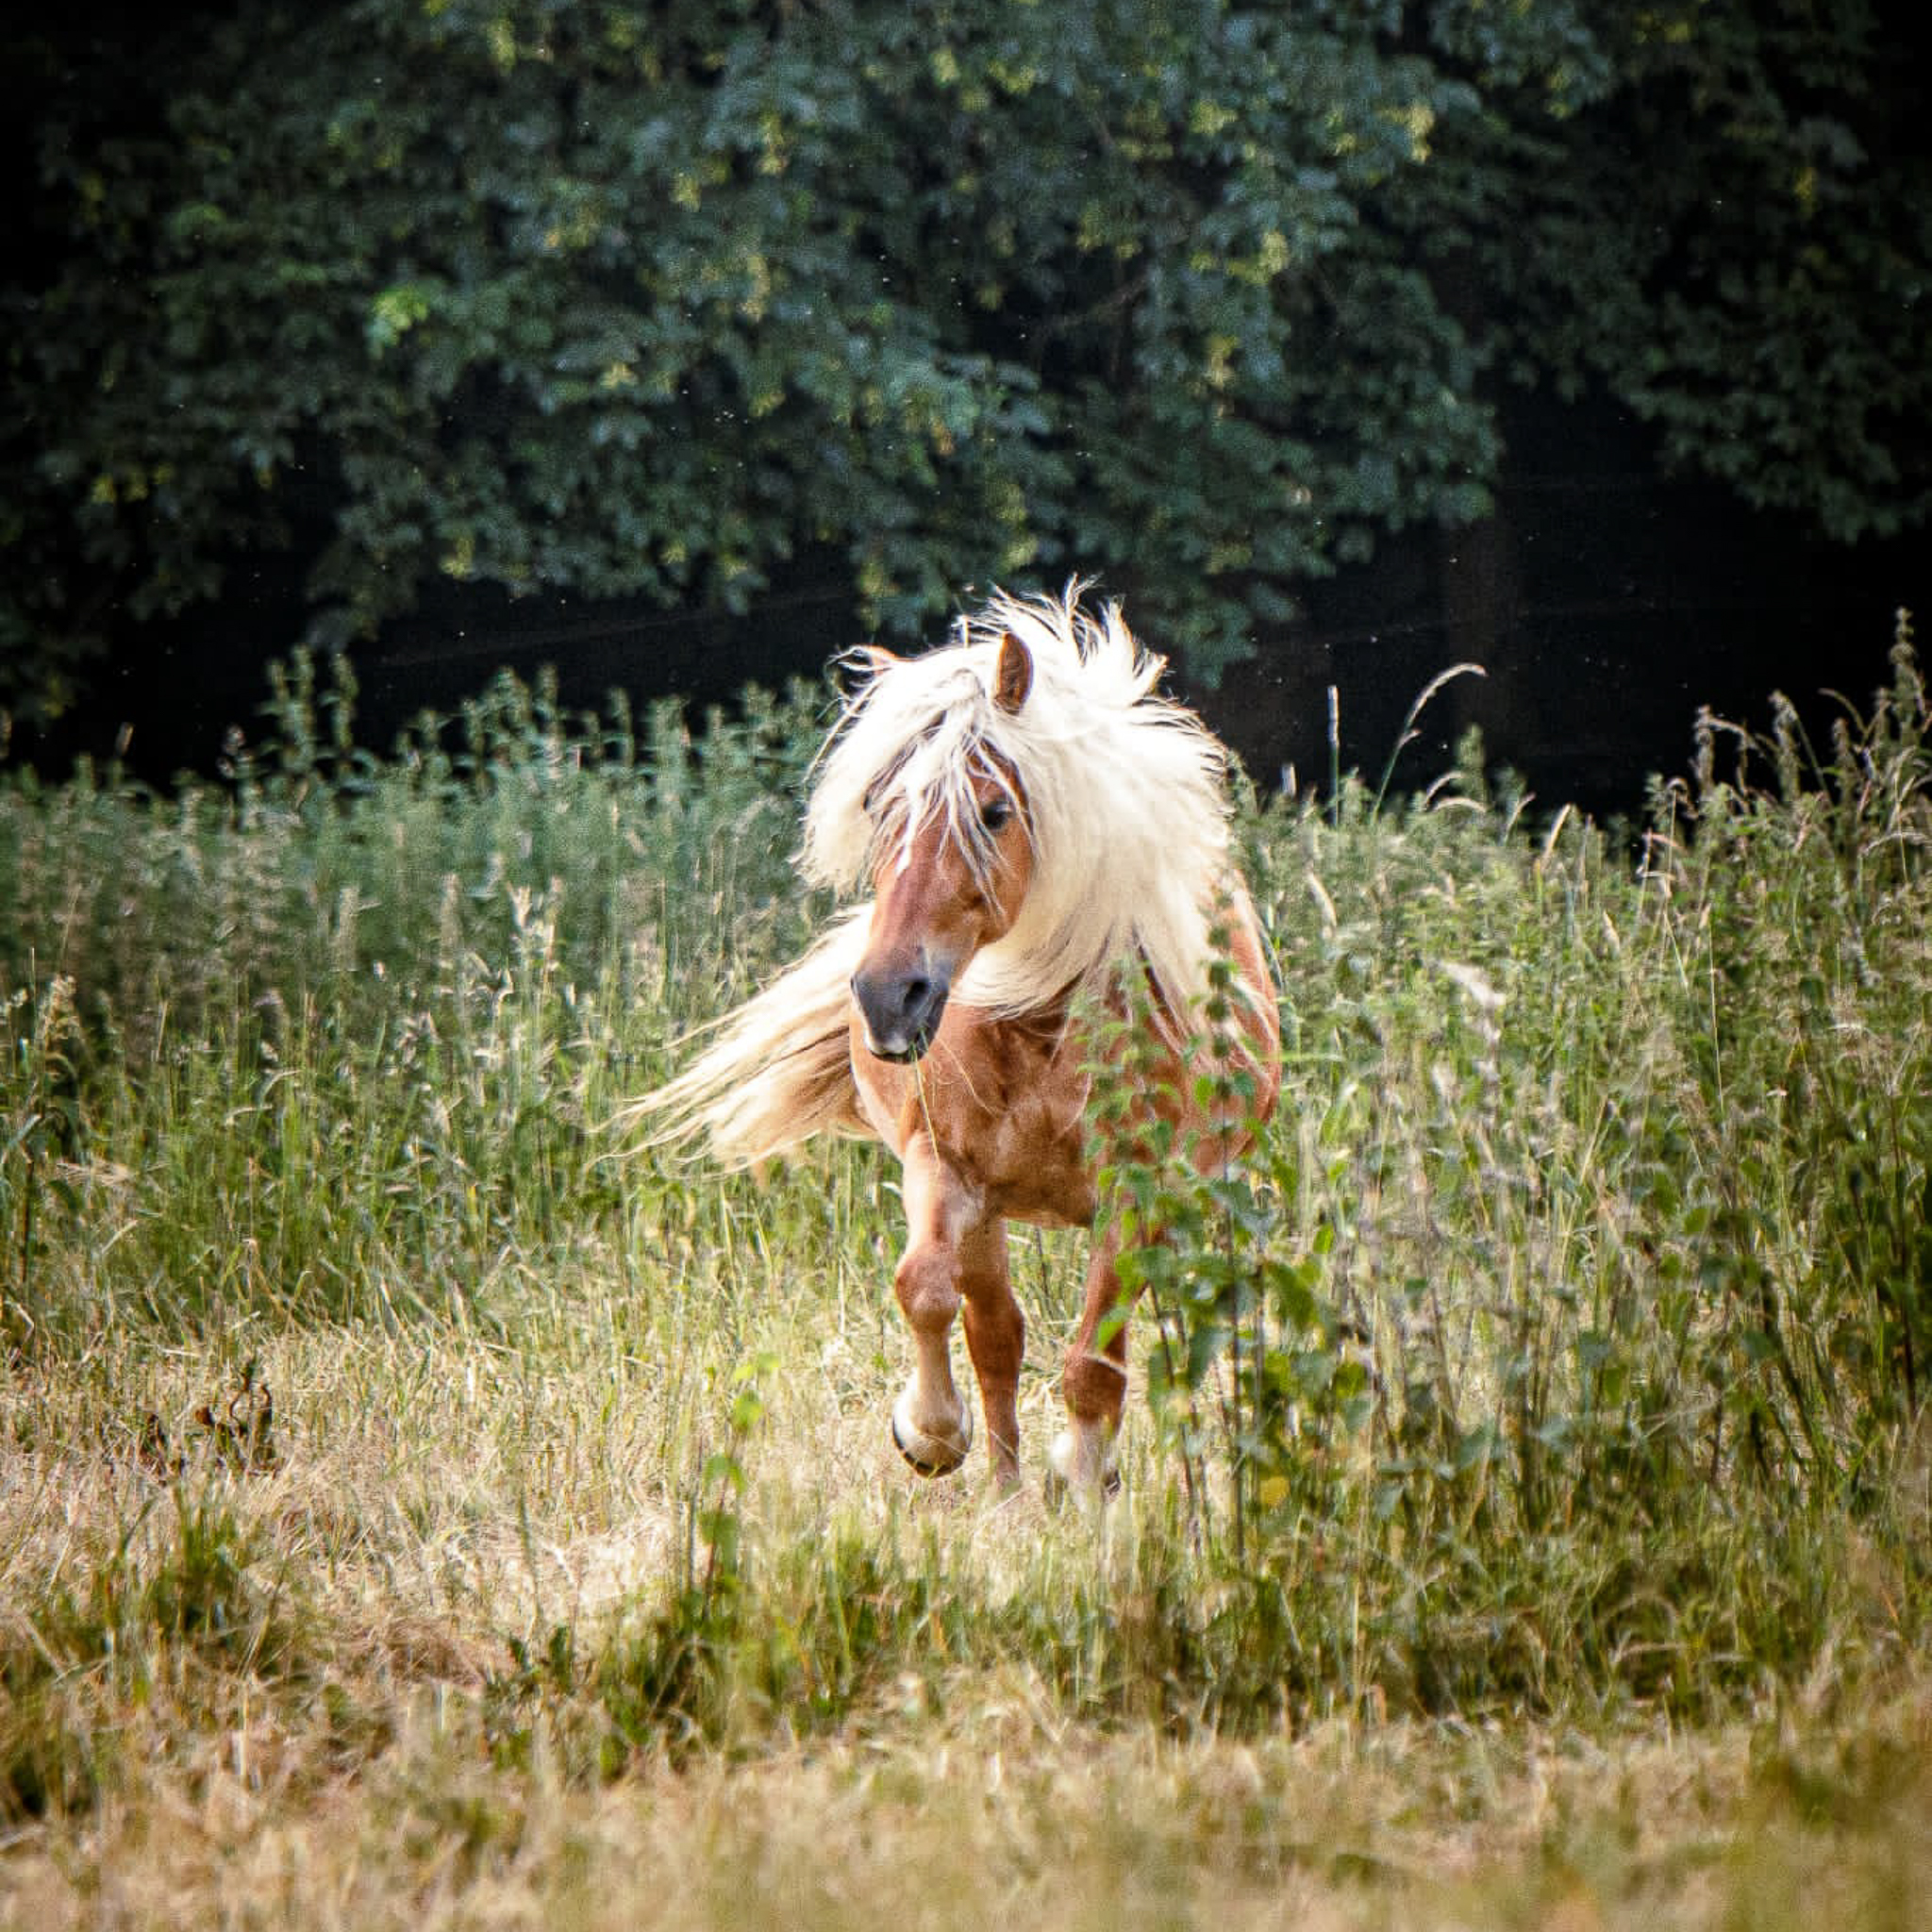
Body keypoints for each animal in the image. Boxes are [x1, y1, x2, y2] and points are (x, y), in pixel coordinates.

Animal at [637, 583, 1282, 1491]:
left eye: (995, 811)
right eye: (877, 808)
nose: (886, 998)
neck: (1043, 1022)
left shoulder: (1137, 1196)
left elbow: (1095, 1365)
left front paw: (1081, 1478)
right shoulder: (943, 1168)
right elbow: (927, 1293)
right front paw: (931, 1435)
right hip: (988, 1215)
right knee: (996, 1337)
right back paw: (1004, 1494)